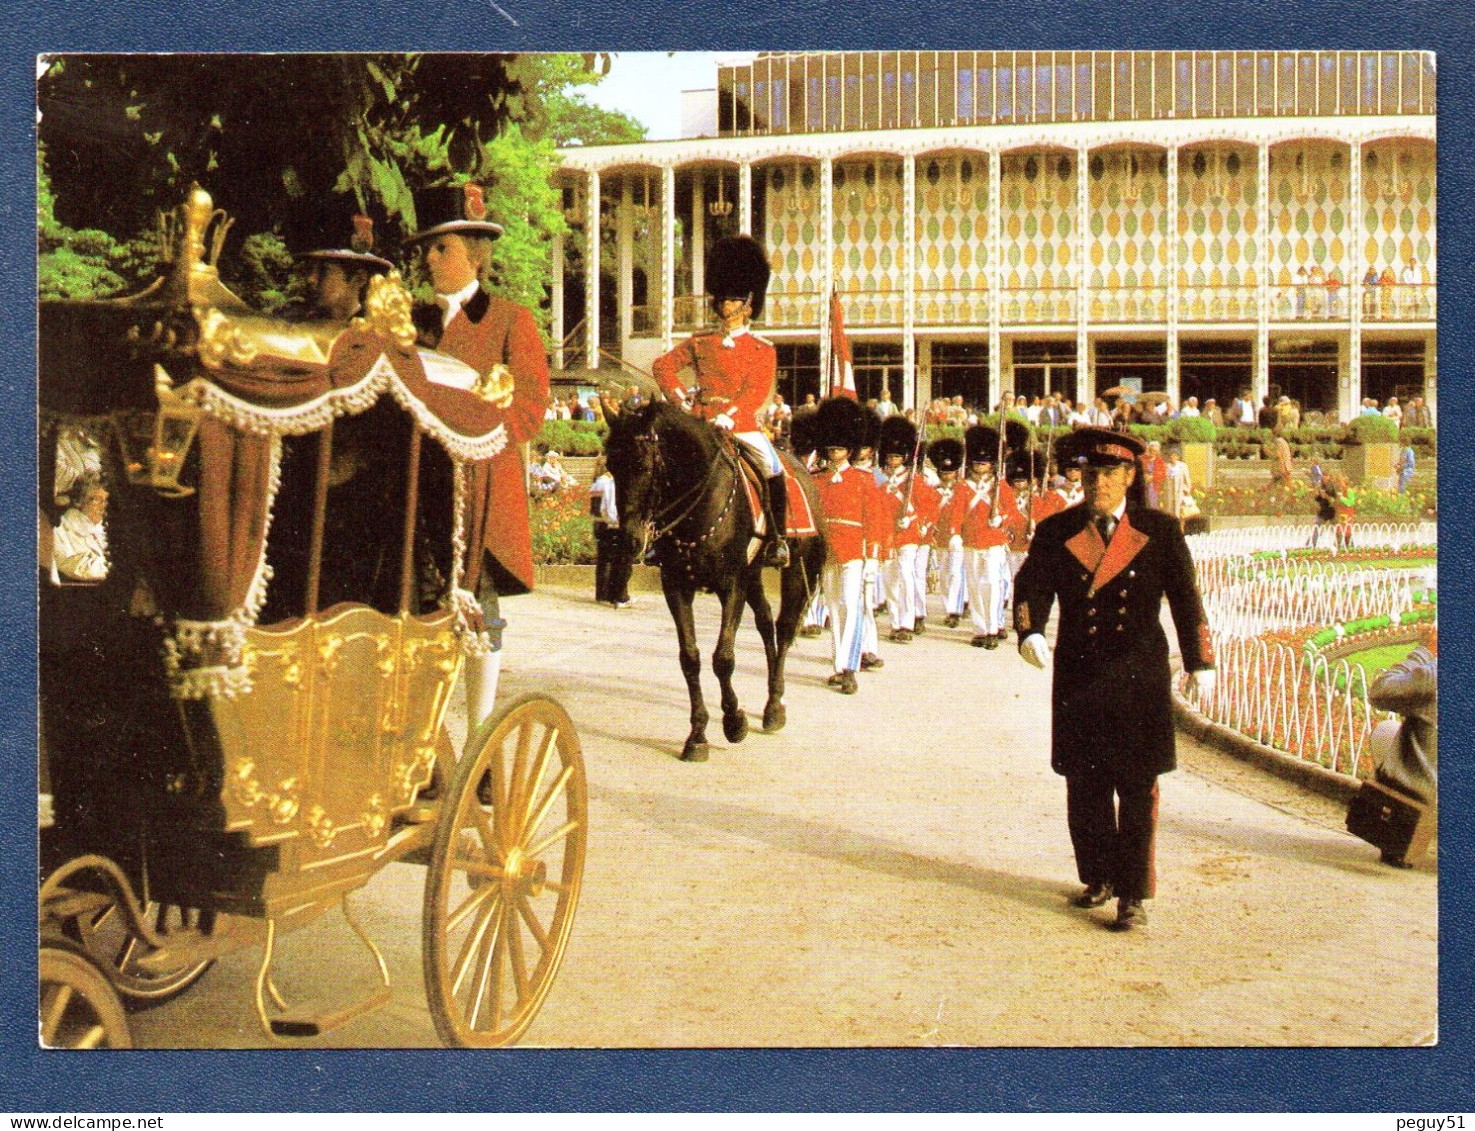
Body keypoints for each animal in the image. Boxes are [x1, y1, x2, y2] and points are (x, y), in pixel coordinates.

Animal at [601, 401, 831, 766]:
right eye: (611, 464)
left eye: (642, 463)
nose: (628, 539)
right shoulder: (676, 585)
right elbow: (690, 658)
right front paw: (697, 736)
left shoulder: (731, 584)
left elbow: (723, 657)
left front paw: (734, 721)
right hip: (754, 575)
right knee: (766, 623)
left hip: (795, 570)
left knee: (784, 627)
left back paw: (774, 706)